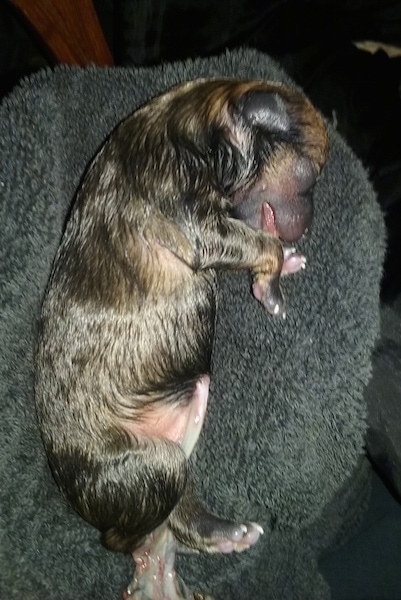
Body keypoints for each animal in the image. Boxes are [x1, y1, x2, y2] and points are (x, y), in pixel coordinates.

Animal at [36, 79, 326, 600]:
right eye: (310, 178)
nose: (309, 225)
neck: (193, 128)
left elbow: (261, 244)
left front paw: (281, 267)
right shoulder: (200, 228)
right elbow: (262, 243)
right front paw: (273, 279)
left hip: (163, 471)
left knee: (175, 520)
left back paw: (224, 530)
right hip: (153, 464)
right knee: (131, 531)